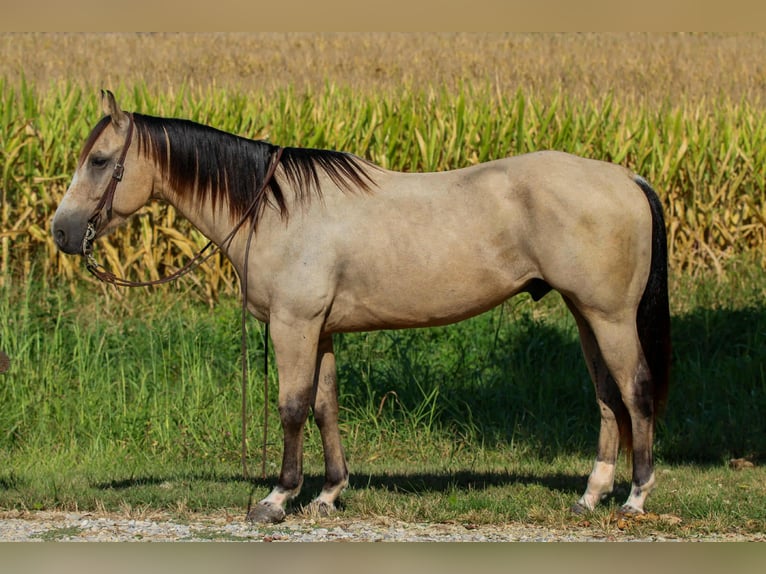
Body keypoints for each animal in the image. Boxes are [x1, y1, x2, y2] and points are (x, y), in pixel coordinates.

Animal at [52, 90, 670, 524]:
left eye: (101, 160)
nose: (61, 231)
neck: (275, 208)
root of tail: (626, 177)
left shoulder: (294, 326)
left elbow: (293, 407)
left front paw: (277, 499)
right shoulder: (321, 331)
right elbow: (326, 407)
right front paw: (328, 493)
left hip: (610, 317)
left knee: (634, 391)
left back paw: (635, 498)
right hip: (585, 315)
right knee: (608, 397)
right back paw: (591, 495)